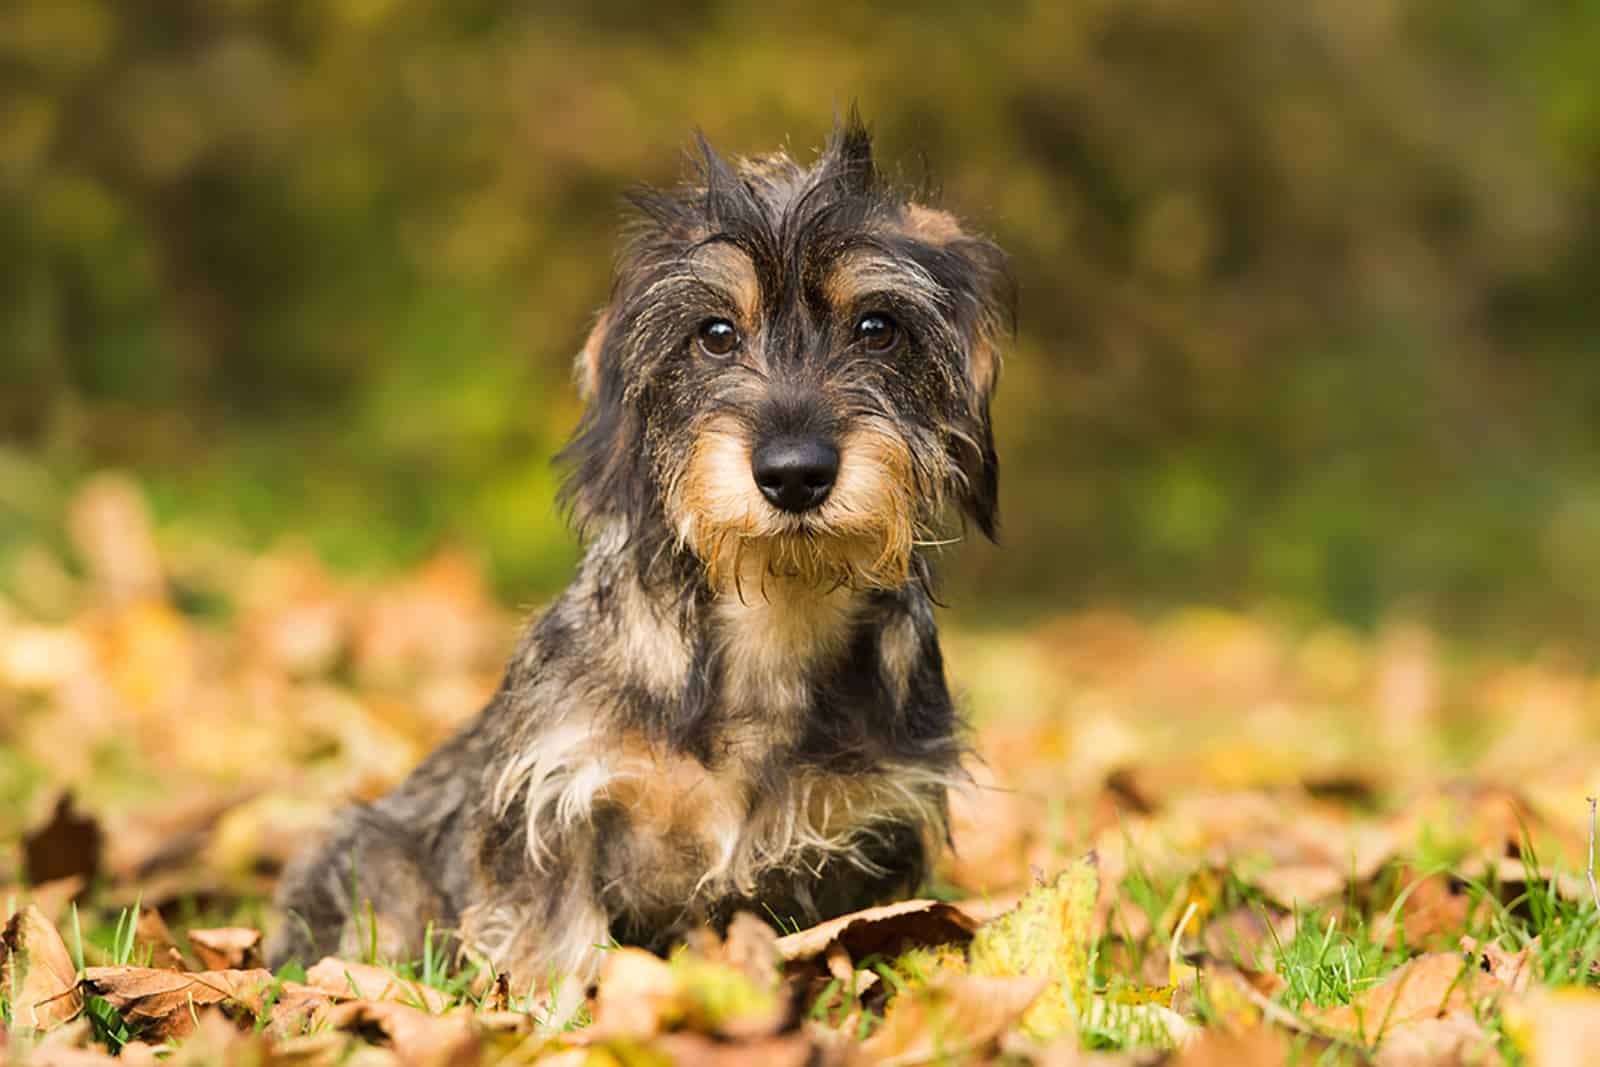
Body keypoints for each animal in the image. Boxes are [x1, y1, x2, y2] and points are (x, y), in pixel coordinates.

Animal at [267, 116, 1004, 991]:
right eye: (714, 333)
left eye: (878, 327)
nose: (795, 473)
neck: (774, 622)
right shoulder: (558, 803)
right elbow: (555, 949)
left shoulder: (868, 836)